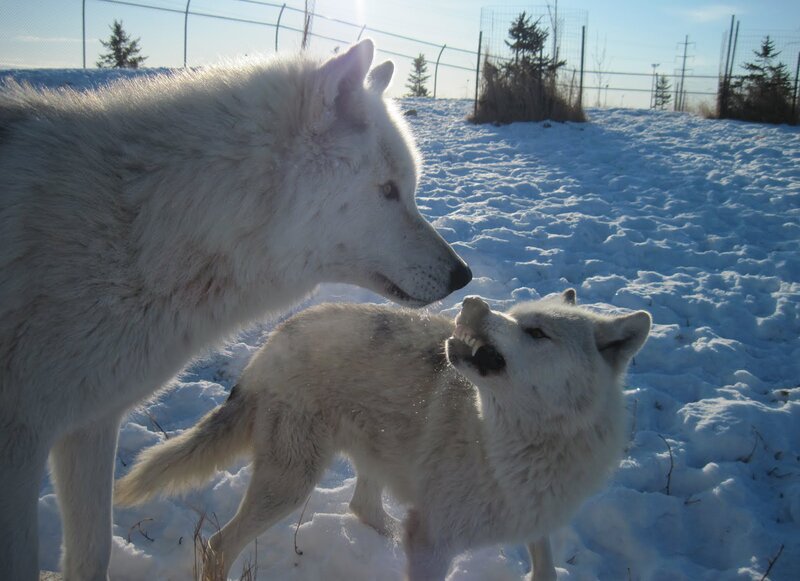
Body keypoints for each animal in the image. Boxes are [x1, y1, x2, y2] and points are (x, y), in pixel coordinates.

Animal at [0, 39, 472, 580]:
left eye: (408, 188)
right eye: (389, 190)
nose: (463, 275)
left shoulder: (89, 423)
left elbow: (92, 555)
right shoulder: (22, 442)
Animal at [116, 291, 651, 580]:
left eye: (536, 331)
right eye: (514, 315)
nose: (473, 303)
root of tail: (271, 341)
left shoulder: (536, 521)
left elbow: (546, 568)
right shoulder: (434, 542)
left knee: (363, 508)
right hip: (291, 485)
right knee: (217, 545)